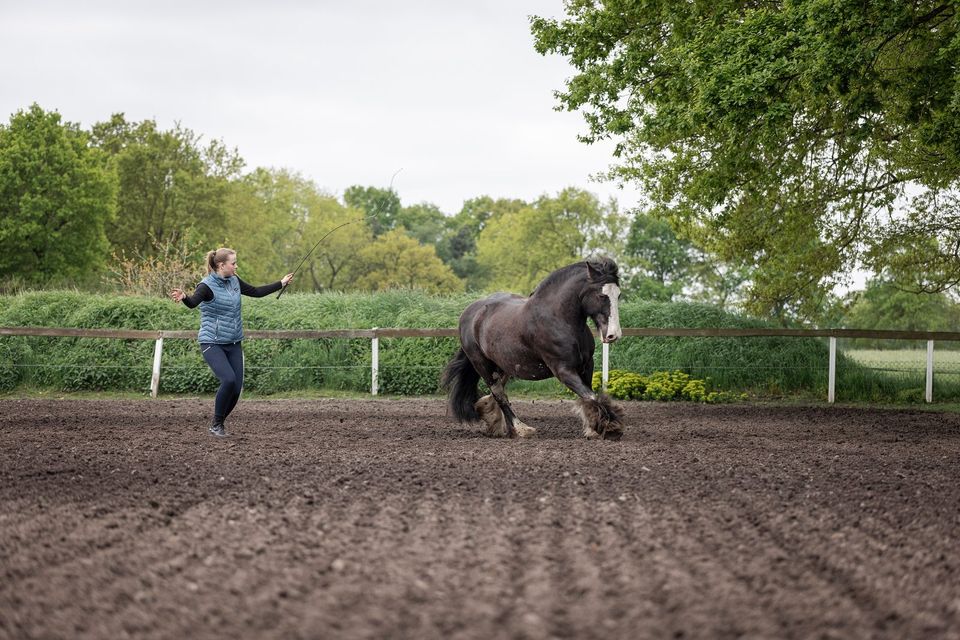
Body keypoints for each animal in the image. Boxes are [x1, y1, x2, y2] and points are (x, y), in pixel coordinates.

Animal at [440, 255, 628, 440]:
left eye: (618, 295)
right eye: (602, 295)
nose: (613, 335)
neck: (560, 319)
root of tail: (470, 313)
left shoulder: (587, 366)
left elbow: (588, 397)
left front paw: (593, 429)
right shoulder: (563, 370)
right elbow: (590, 396)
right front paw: (610, 427)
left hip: (504, 366)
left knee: (497, 393)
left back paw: (495, 422)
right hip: (483, 365)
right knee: (499, 394)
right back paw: (521, 429)